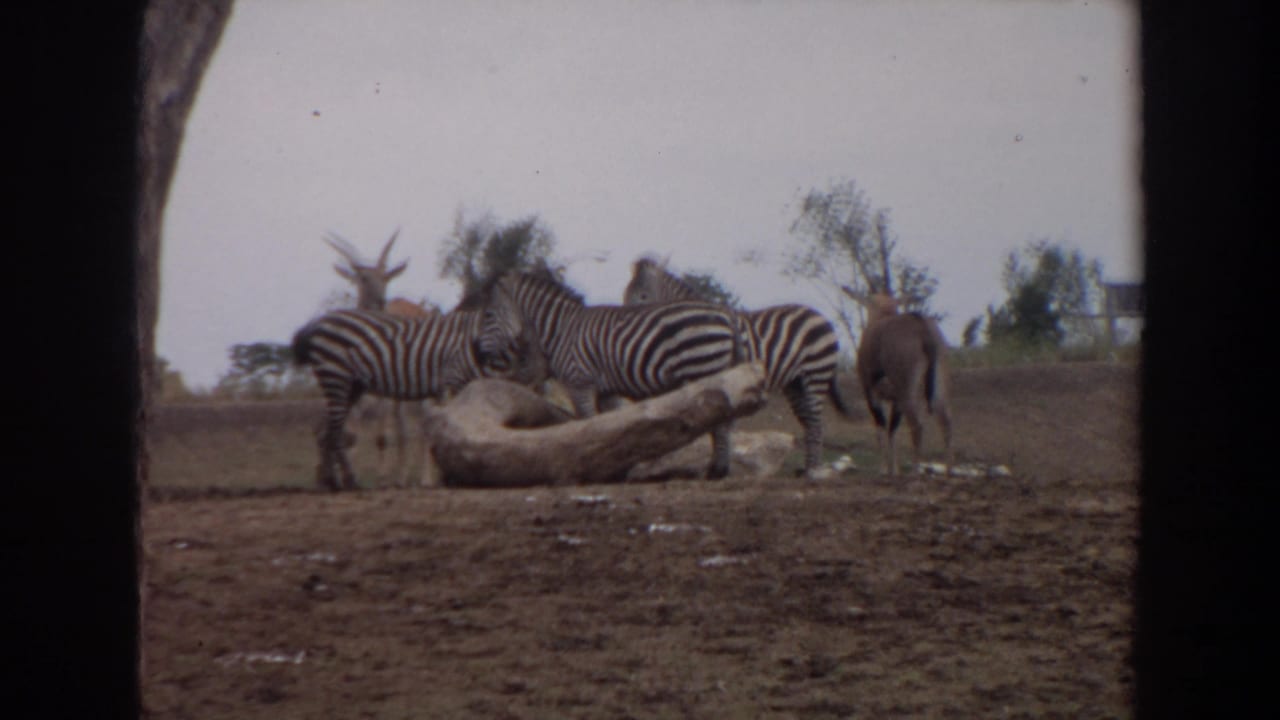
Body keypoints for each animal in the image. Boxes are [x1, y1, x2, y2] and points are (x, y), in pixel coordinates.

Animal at [292, 305, 544, 491]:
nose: (539, 386)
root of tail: (318, 322)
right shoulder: (450, 385)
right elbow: (446, 430)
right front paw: (444, 477)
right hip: (336, 376)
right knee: (334, 430)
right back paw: (346, 481)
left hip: (350, 385)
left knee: (327, 430)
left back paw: (331, 482)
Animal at [471, 270, 746, 479]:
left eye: (488, 315)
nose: (477, 353)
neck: (562, 330)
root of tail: (726, 314)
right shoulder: (606, 391)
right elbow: (610, 427)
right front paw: (615, 468)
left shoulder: (580, 383)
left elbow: (587, 424)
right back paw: (719, 468)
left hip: (704, 368)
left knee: (721, 421)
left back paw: (717, 471)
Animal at [623, 256, 855, 479]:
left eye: (642, 295)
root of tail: (818, 314)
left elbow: (713, 424)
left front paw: (717, 468)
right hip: (794, 382)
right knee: (808, 420)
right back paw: (807, 468)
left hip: (816, 372)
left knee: (816, 422)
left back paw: (813, 471)